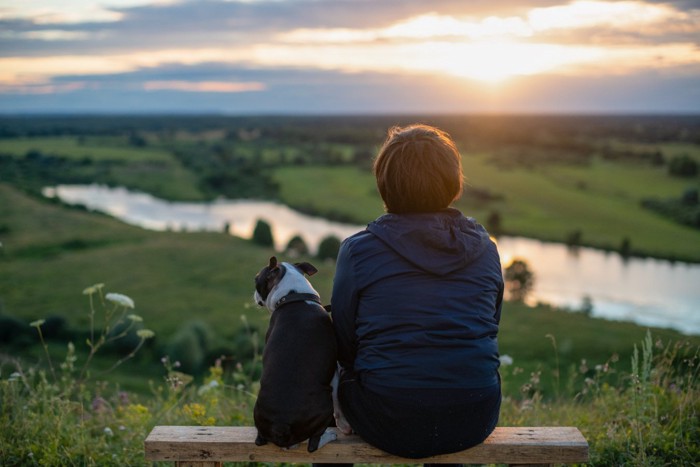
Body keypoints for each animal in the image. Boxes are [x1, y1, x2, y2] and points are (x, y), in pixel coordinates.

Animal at [253, 258, 340, 452]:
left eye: (256, 279)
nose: (254, 294)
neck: (296, 296)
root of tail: (280, 426)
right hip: (326, 403)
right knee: (313, 444)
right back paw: (330, 435)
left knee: (260, 439)